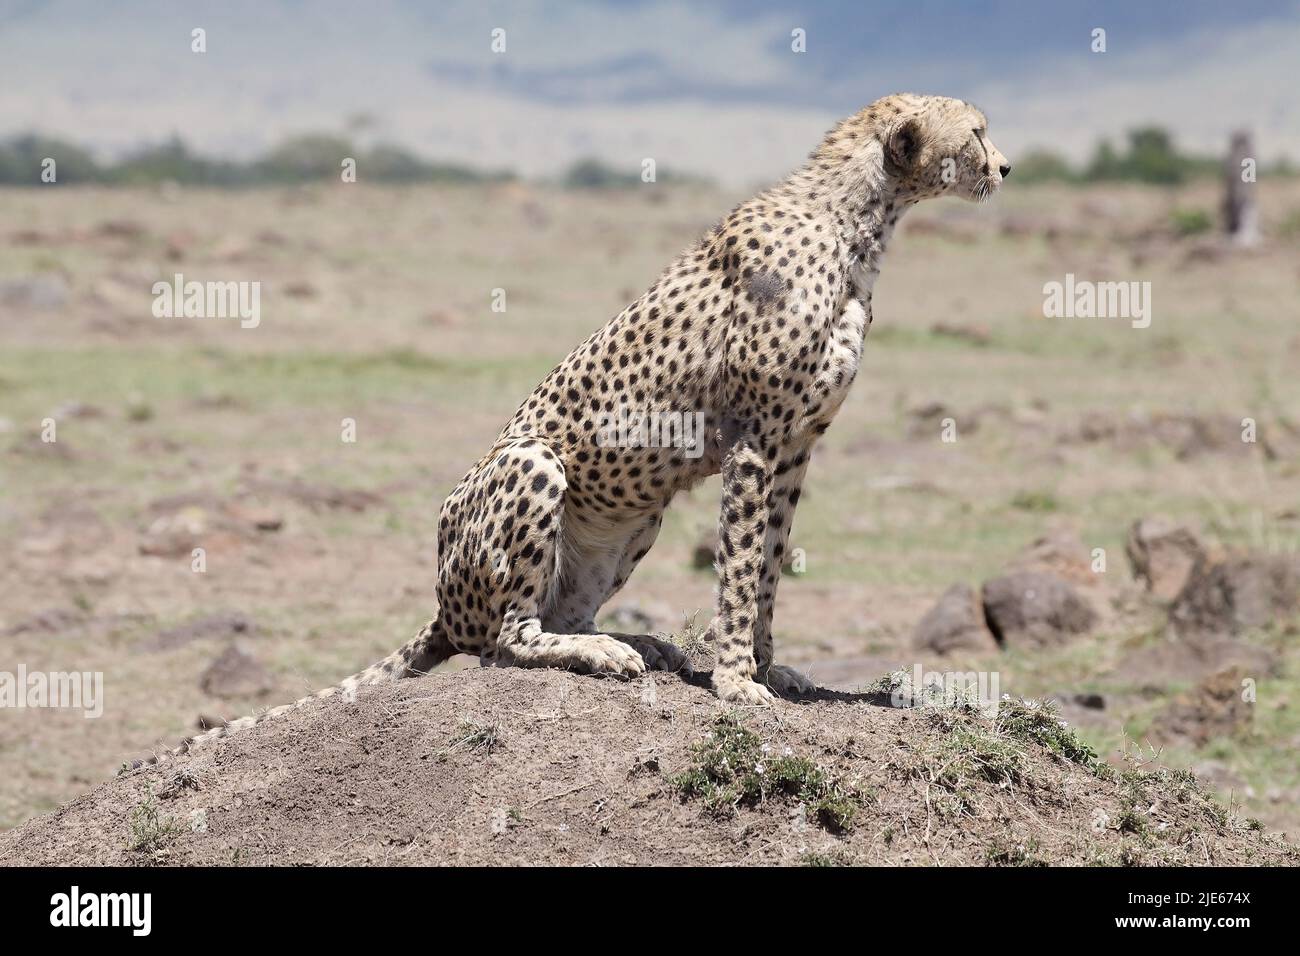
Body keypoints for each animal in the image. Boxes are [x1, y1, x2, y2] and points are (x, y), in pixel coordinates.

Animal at [134, 95, 1003, 770]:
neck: (859, 219)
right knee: (509, 637)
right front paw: (735, 679)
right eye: (978, 131)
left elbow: (767, 568)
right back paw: (606, 653)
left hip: (638, 516)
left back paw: (638, 642)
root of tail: (441, 605)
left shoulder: (794, 449)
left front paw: (768, 664)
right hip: (533, 466)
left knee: (561, 613)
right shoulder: (756, 440)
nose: (1004, 169)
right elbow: (738, 568)